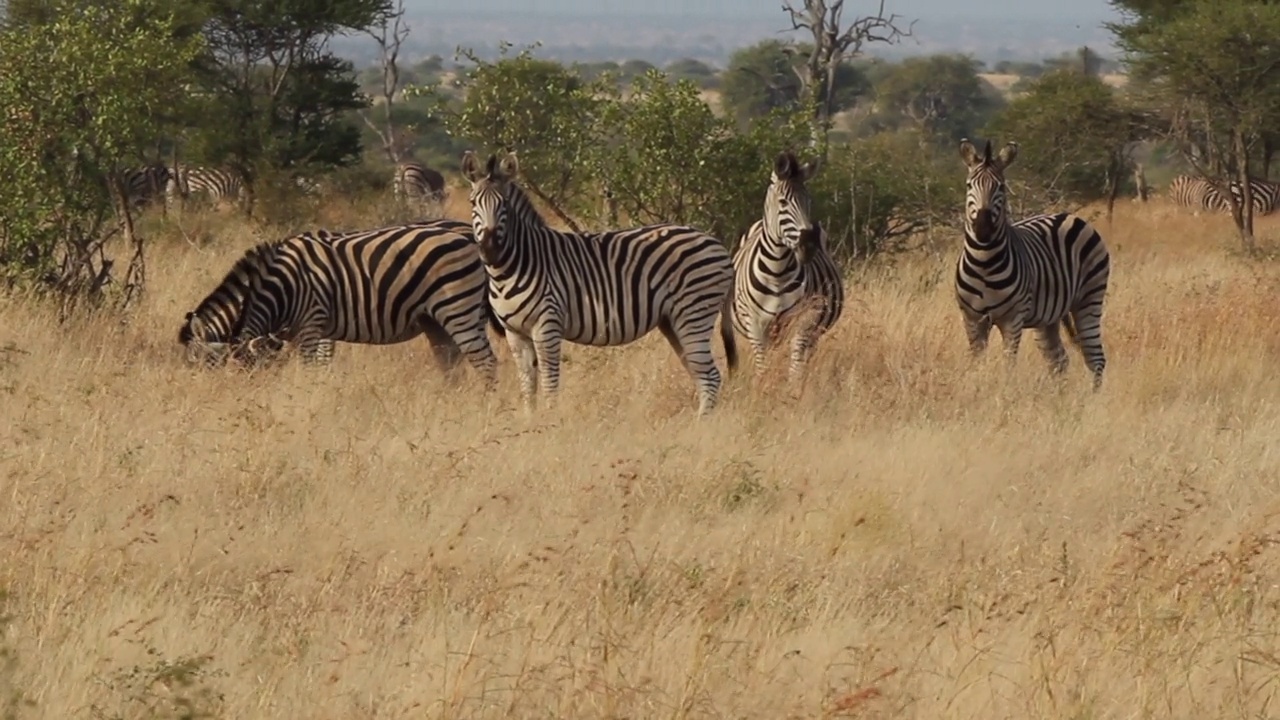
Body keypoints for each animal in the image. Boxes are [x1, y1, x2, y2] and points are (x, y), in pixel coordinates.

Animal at [220, 220, 504, 384]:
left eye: (252, 375)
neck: (284, 286)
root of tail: (470, 239)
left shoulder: (313, 320)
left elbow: (314, 366)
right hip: (443, 318)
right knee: (454, 363)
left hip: (458, 306)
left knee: (484, 361)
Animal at [460, 149, 742, 415]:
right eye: (473, 203)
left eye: (505, 205)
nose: (489, 250)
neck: (512, 267)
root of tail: (717, 245)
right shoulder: (514, 333)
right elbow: (528, 387)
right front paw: (530, 423)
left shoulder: (547, 325)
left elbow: (550, 384)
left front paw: (549, 423)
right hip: (673, 322)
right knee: (700, 375)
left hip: (693, 314)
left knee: (710, 377)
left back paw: (699, 427)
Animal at [727, 149, 844, 384]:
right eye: (782, 202)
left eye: (809, 202)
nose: (809, 246)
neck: (777, 271)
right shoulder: (755, 323)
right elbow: (762, 366)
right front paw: (764, 387)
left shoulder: (806, 318)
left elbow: (796, 364)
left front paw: (794, 389)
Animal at [952, 139, 1111, 386]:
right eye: (969, 186)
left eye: (1001, 187)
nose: (983, 229)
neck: (983, 264)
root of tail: (1069, 216)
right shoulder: (972, 319)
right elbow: (976, 363)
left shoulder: (1013, 319)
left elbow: (1008, 365)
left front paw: (1003, 391)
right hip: (1049, 318)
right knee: (1059, 361)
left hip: (1089, 299)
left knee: (1095, 359)